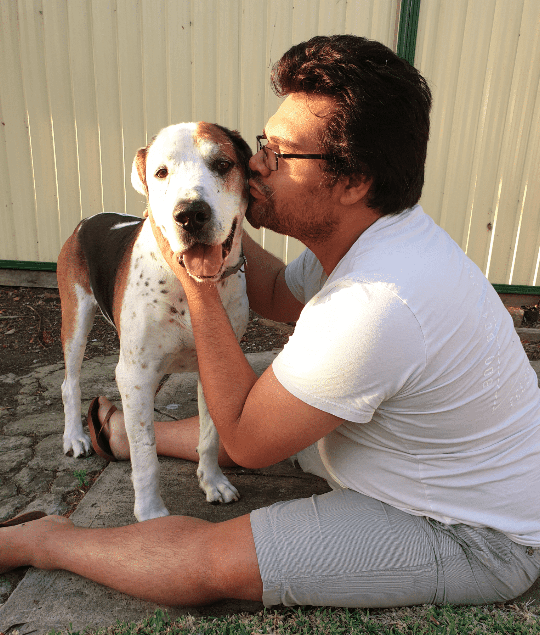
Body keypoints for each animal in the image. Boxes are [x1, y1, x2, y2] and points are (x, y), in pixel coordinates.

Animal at [57, 123, 251, 520]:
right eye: (161, 172)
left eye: (223, 164)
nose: (190, 214)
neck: (190, 287)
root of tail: (87, 220)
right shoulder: (135, 375)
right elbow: (145, 452)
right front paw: (150, 515)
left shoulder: (215, 366)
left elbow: (210, 434)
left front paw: (213, 482)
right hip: (76, 321)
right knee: (70, 383)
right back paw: (75, 438)